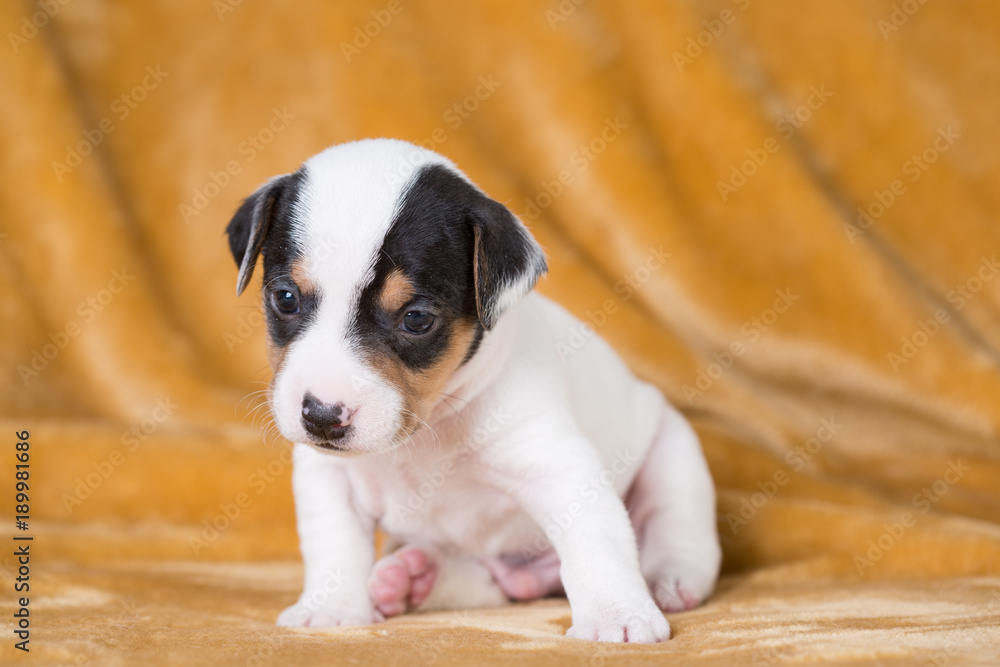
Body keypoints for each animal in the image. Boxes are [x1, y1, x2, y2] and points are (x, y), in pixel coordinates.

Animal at [225, 138, 720, 644]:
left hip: (674, 452)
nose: (322, 416)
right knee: (485, 582)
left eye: (416, 318)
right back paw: (413, 580)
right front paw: (331, 608)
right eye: (285, 298)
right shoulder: (330, 478)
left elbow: (596, 540)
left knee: (678, 525)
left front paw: (615, 615)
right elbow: (335, 542)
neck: (432, 424)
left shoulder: (559, 467)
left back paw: (670, 579)